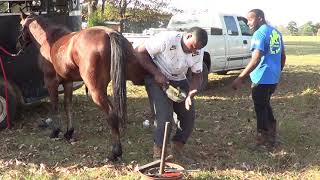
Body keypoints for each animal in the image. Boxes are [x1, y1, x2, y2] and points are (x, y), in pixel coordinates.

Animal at [17, 12, 148, 162]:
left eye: (20, 26)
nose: (18, 46)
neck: (50, 39)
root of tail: (109, 33)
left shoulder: (51, 82)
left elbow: (54, 106)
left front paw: (55, 131)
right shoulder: (67, 82)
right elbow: (68, 106)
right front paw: (69, 132)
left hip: (96, 91)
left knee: (111, 115)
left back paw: (115, 152)